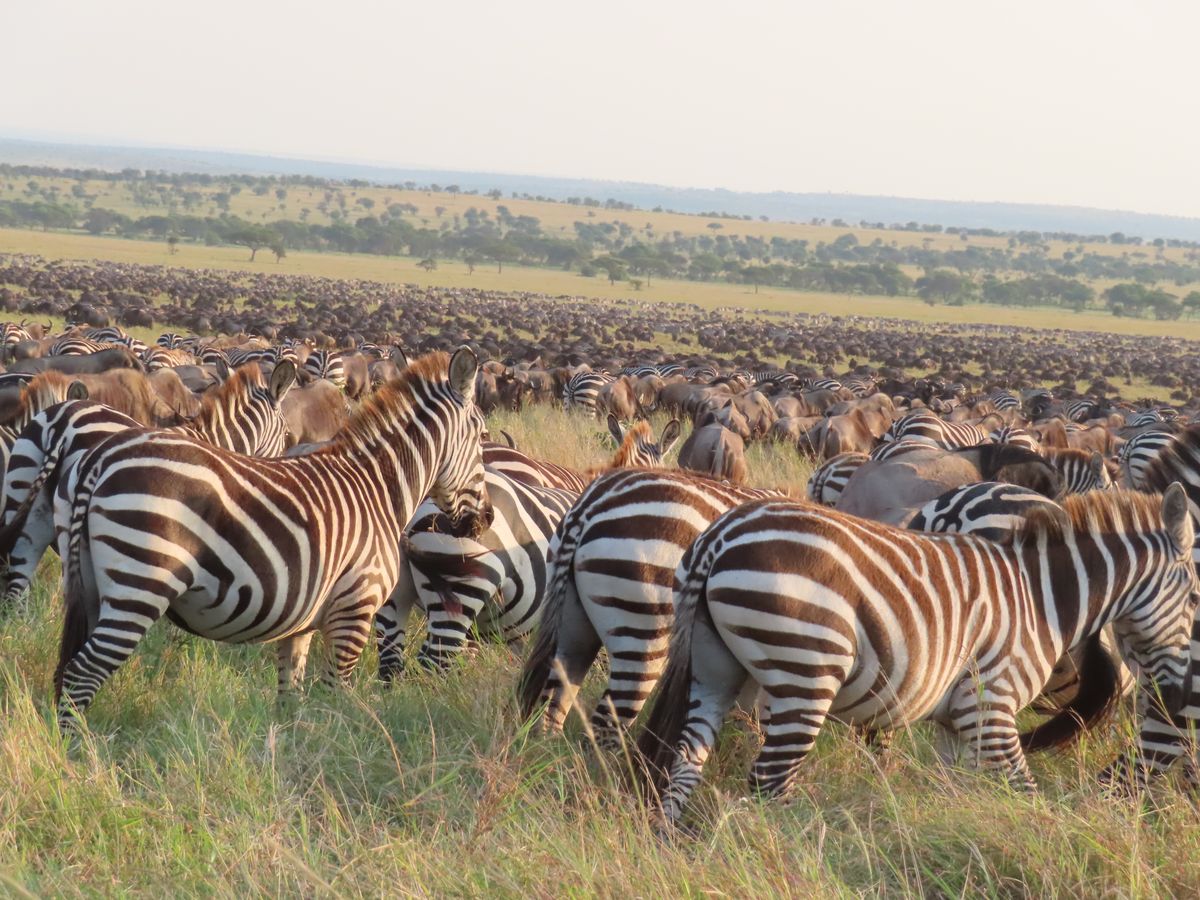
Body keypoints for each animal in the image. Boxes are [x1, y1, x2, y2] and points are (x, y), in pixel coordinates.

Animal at [52, 349, 492, 731]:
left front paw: (288, 754)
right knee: (81, 675)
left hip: (92, 583)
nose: (486, 519)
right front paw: (329, 750)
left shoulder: (302, 625)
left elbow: (290, 699)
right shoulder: (354, 610)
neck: (377, 487)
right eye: (481, 436)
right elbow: (334, 698)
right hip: (140, 583)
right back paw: (81, 757)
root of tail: (103, 457)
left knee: (68, 672)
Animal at [518, 468, 780, 749]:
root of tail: (594, 502)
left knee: (555, 698)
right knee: (606, 725)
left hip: (572, 621)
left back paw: (547, 750)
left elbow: (747, 715)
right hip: (644, 631)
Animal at [638, 487, 1198, 827]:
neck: (1043, 600)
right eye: (1196, 599)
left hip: (714, 672)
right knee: (768, 783)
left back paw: (670, 844)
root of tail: (717, 538)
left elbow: (961, 794)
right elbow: (1023, 790)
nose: (1178, 697)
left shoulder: (955, 723)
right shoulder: (990, 706)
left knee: (687, 761)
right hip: (805, 673)